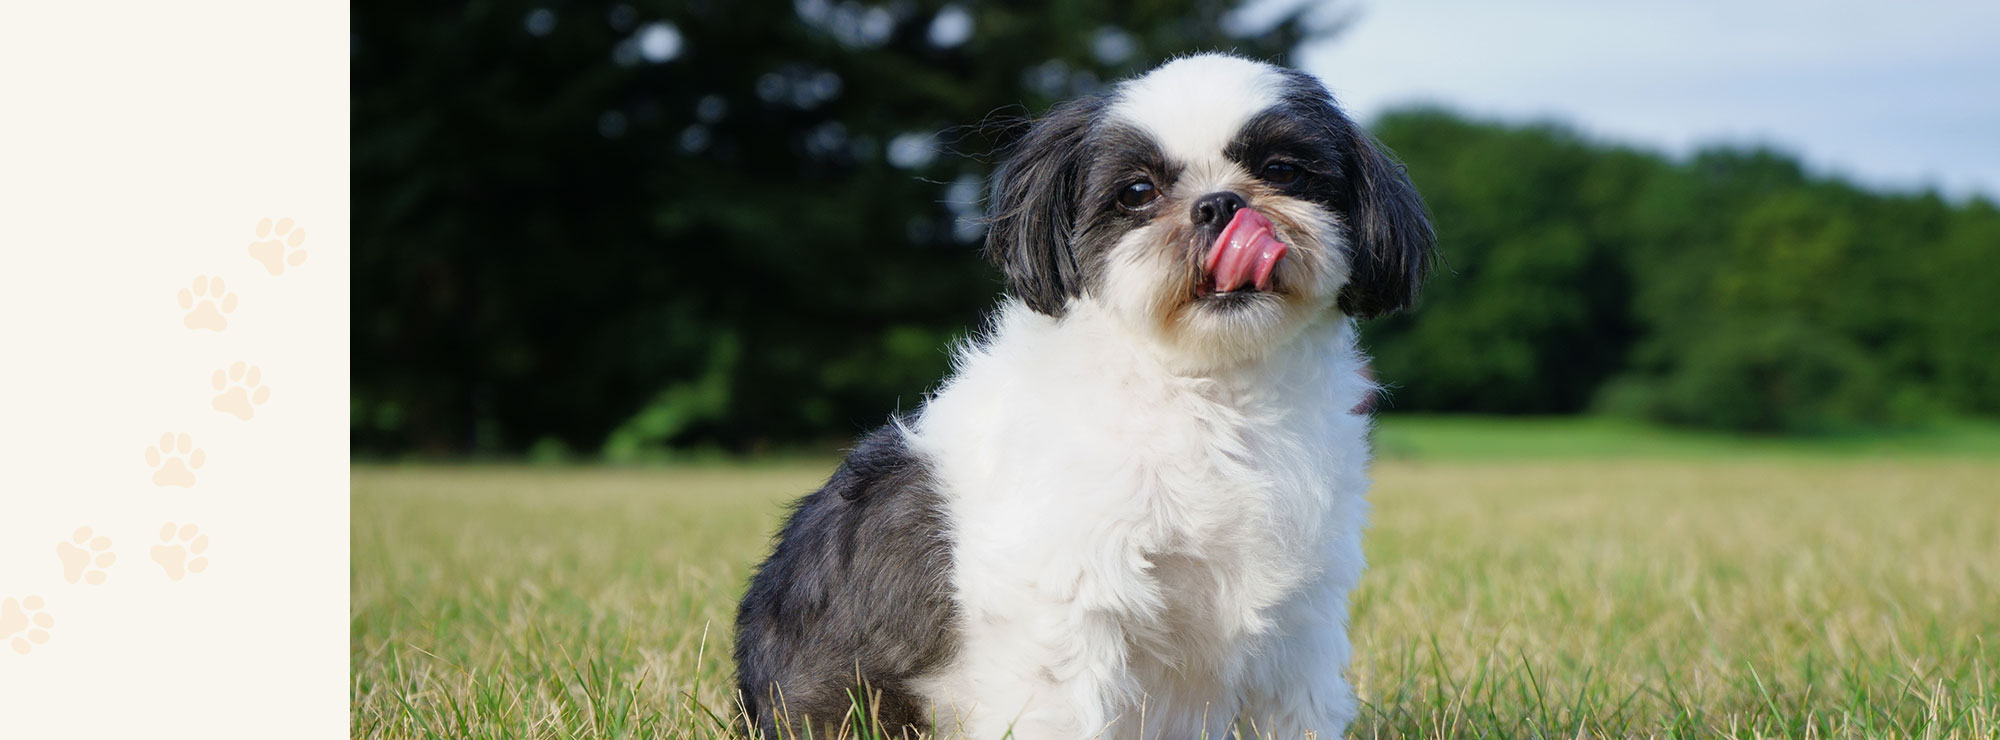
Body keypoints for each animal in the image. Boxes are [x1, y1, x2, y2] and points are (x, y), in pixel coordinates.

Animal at [736, 53, 1440, 740]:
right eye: (1137, 192)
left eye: (1282, 170)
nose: (1220, 204)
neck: (1206, 395)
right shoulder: (1062, 602)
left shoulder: (1299, 617)